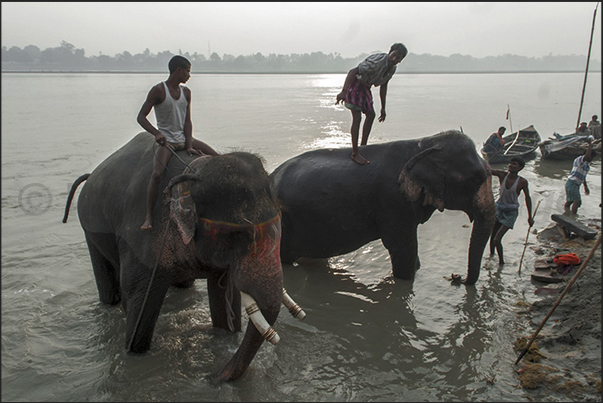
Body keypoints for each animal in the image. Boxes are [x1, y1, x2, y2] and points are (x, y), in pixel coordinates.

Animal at [64, 133, 306, 386]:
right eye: (239, 234)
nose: (212, 377)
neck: (192, 174)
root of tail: (92, 175)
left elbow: (224, 295)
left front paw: (224, 335)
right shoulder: (140, 243)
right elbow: (137, 302)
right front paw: (134, 354)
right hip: (90, 227)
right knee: (106, 277)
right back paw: (111, 302)